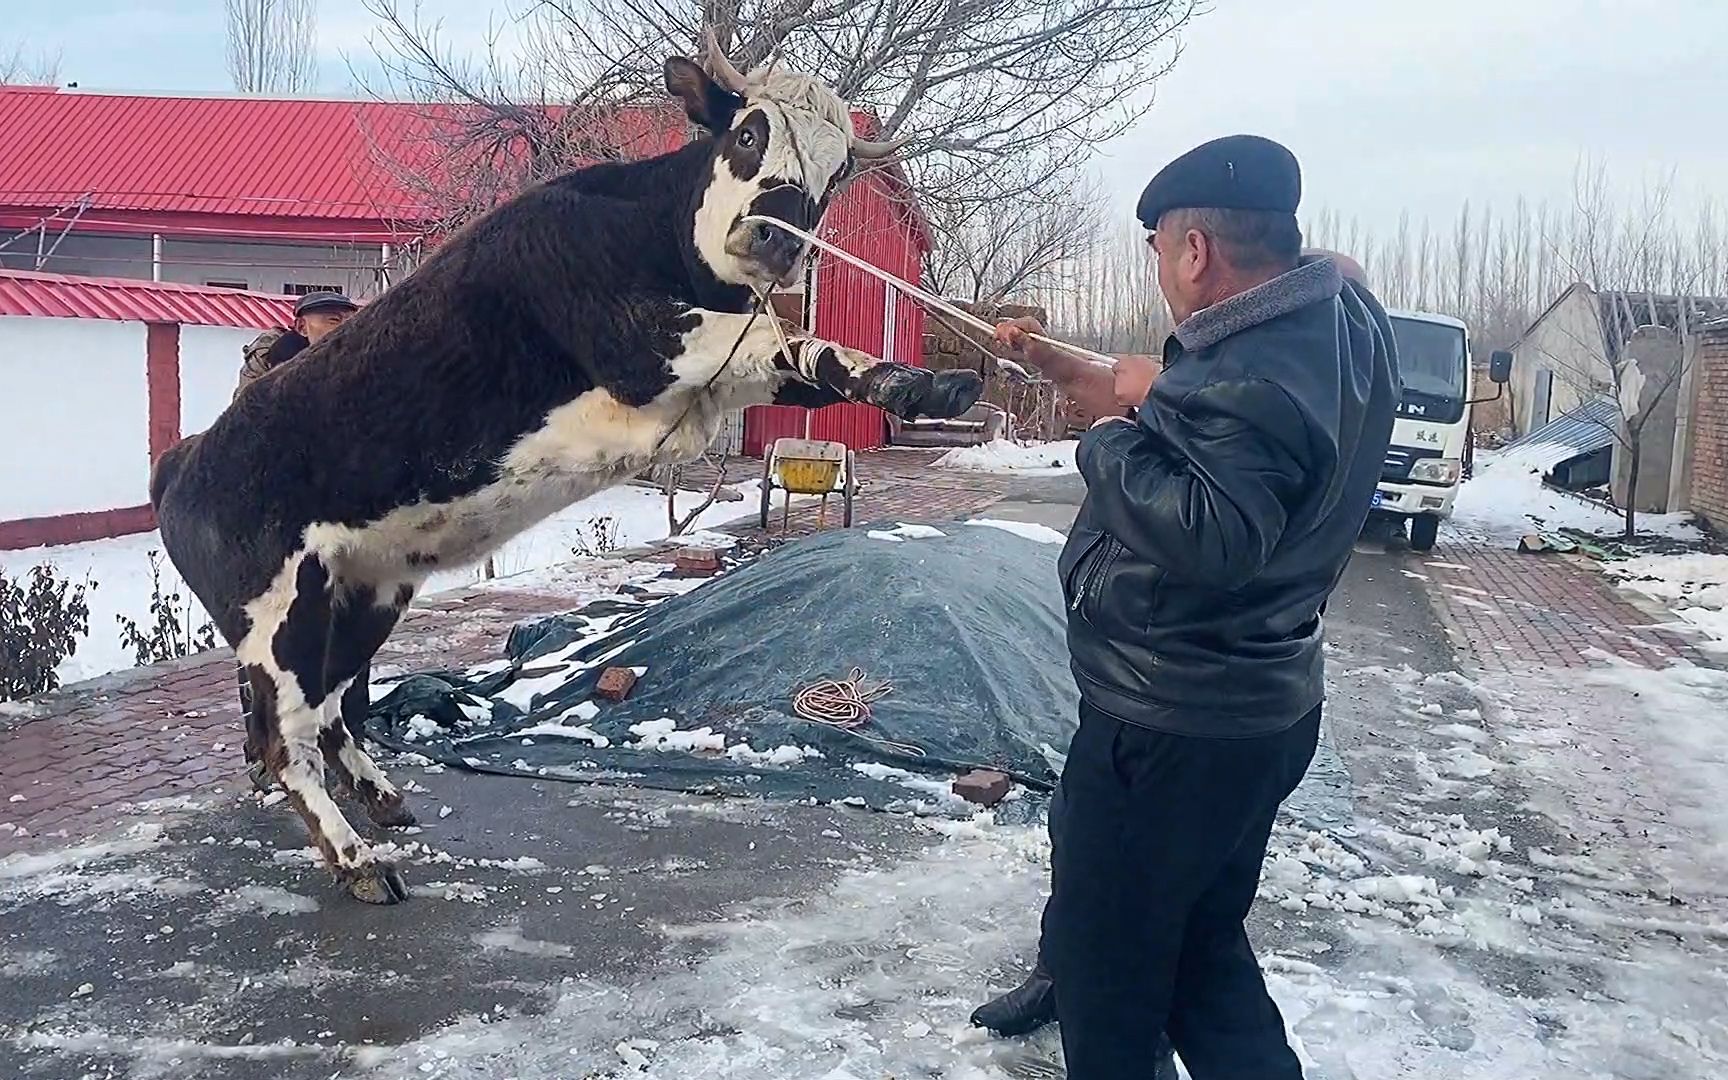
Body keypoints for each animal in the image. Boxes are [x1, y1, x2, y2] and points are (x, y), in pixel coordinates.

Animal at [145, 38, 988, 905]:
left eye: (832, 172)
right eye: (749, 133)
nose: (776, 238)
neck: (643, 227)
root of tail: (186, 458)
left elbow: (805, 354)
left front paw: (923, 384)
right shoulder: (641, 342)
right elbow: (774, 337)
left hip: (362, 595)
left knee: (329, 712)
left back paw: (382, 799)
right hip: (277, 613)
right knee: (285, 737)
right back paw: (357, 862)